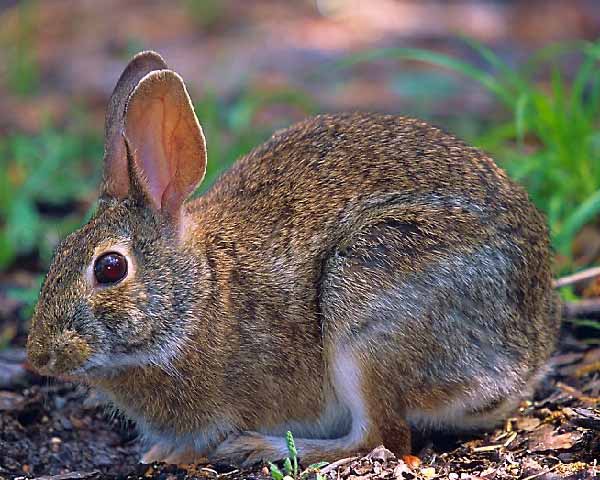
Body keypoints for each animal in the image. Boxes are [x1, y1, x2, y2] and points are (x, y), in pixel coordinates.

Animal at [25, 51, 560, 464]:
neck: (199, 291)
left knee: (381, 438)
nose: (38, 357)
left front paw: (177, 453)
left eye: (110, 268)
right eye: (59, 252)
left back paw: (258, 448)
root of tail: (525, 359)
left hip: (368, 308)